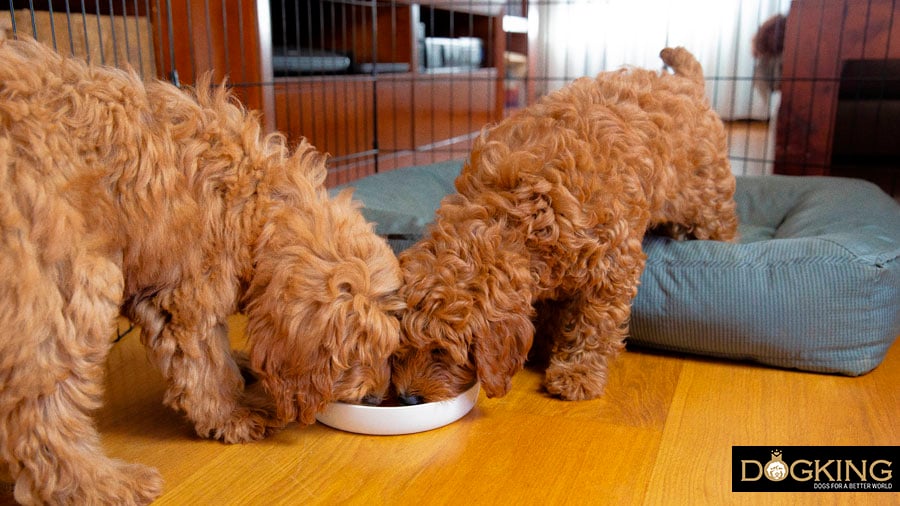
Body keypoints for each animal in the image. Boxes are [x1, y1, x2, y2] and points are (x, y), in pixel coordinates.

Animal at [0, 37, 400, 504]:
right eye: (355, 353)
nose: (376, 395)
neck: (255, 201)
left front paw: (242, 369)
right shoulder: (188, 292)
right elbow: (206, 364)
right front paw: (235, 413)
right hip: (69, 282)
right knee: (38, 408)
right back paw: (101, 483)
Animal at [394, 46, 740, 404]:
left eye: (441, 351)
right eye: (398, 349)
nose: (406, 398)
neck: (512, 214)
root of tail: (686, 83)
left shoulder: (612, 264)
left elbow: (595, 323)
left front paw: (577, 372)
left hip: (708, 198)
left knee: (721, 225)